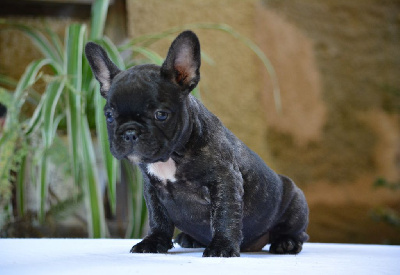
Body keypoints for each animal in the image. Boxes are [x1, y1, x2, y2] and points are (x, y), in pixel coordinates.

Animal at [85, 30, 310, 258]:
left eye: (161, 115)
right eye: (109, 116)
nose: (130, 132)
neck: (173, 156)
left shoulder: (225, 181)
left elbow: (224, 216)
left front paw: (222, 247)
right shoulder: (152, 190)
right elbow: (158, 219)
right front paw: (153, 242)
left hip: (295, 202)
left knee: (298, 232)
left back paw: (286, 243)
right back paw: (188, 238)